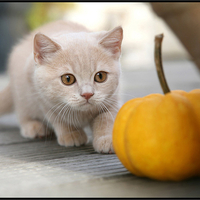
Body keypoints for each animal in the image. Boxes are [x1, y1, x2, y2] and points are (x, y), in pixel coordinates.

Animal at [0, 19, 122, 153]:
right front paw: (71, 134)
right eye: (67, 79)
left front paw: (107, 139)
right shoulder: (40, 95)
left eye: (100, 76)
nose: (87, 94)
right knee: (22, 112)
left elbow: (106, 118)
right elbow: (58, 117)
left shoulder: (113, 98)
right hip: (21, 93)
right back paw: (33, 126)